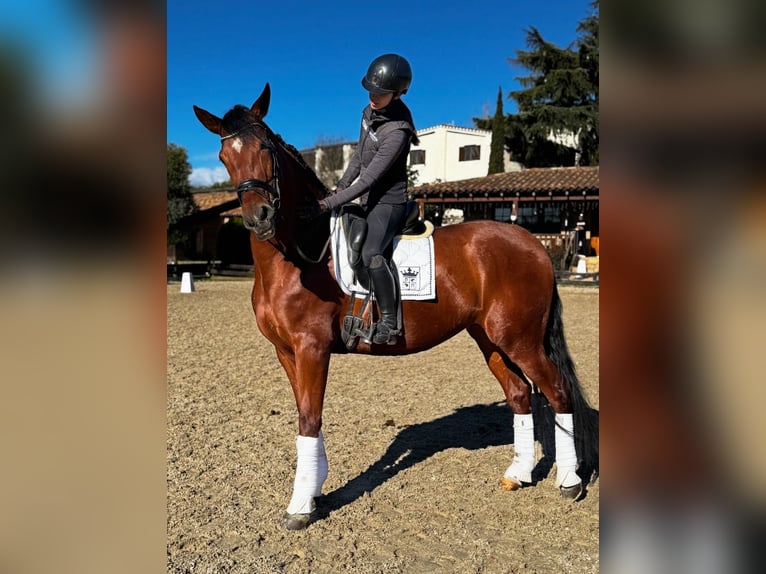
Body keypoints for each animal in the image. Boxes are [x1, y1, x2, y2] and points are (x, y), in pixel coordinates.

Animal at [193, 83, 598, 530]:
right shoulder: (285, 352)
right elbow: (305, 415)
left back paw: (569, 482)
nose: (259, 218)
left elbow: (309, 418)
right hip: (491, 339)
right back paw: (519, 474)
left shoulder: (312, 349)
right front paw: (315, 490)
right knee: (520, 394)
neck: (298, 258)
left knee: (557, 391)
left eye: (265, 148)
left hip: (520, 340)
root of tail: (533, 244)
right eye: (223, 156)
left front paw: (300, 506)